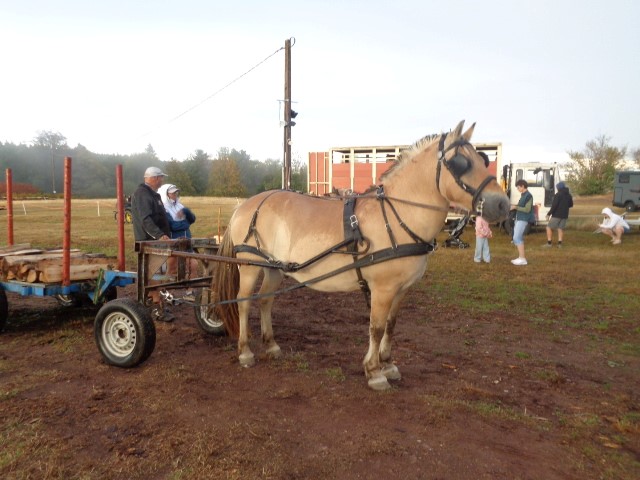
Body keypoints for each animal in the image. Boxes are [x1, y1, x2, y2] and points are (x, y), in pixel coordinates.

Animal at [213, 120, 510, 390]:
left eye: (483, 159)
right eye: (460, 163)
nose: (503, 204)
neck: (397, 218)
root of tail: (246, 205)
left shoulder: (402, 289)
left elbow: (391, 325)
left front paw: (388, 364)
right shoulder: (382, 288)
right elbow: (376, 327)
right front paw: (374, 371)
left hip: (275, 267)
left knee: (266, 301)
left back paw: (272, 345)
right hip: (250, 265)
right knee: (244, 303)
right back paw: (245, 351)